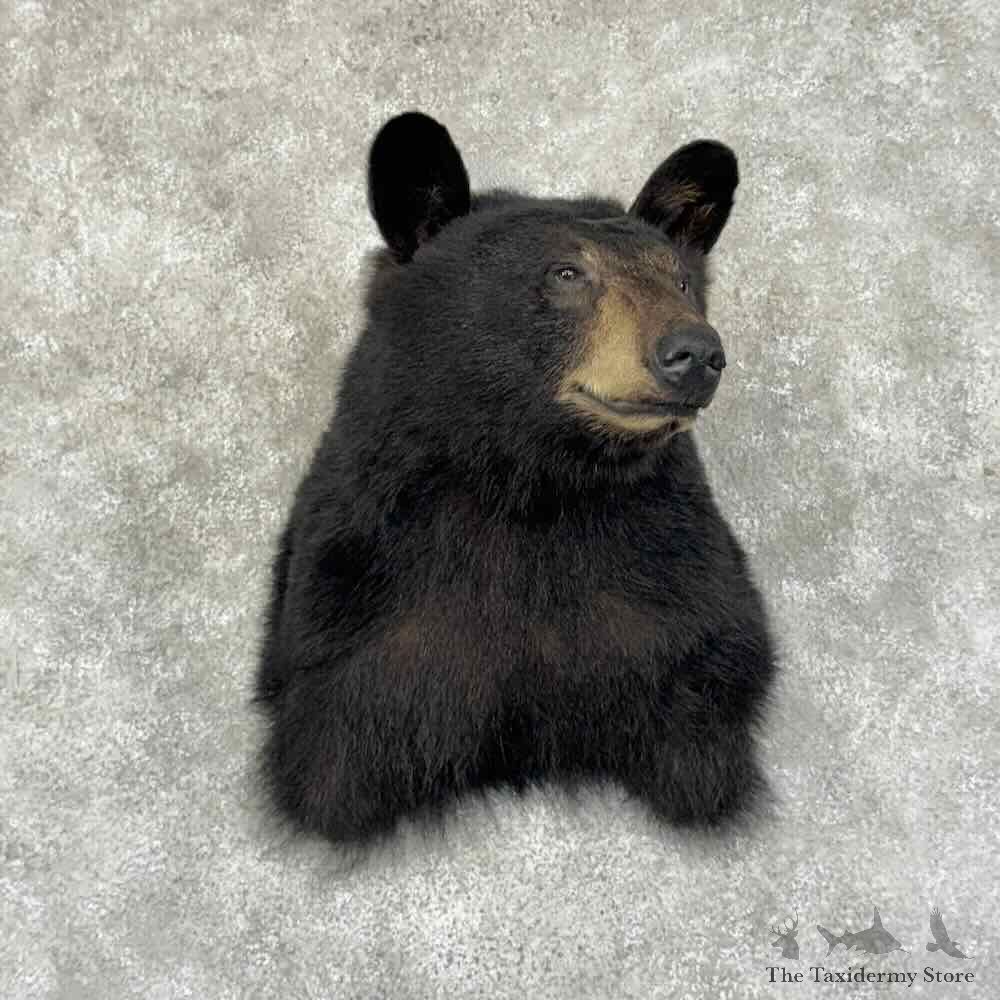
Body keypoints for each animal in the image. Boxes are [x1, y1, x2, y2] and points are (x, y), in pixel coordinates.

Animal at [254, 111, 777, 847]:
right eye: (567, 272)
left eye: (679, 281)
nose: (695, 353)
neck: (532, 483)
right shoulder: (357, 594)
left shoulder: (684, 595)